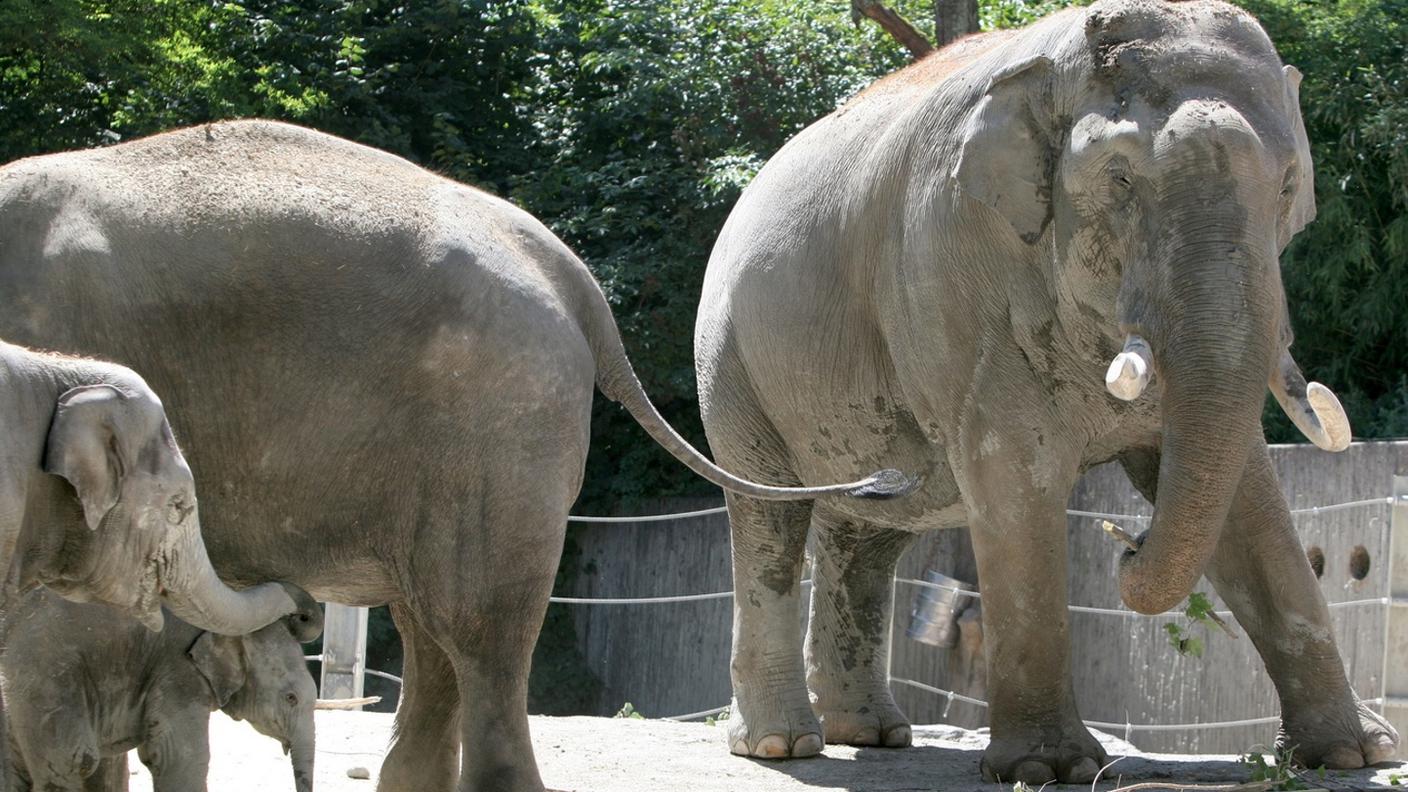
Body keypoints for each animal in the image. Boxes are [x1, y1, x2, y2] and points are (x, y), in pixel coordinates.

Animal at [0, 586, 322, 789]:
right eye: (291, 698)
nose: (301, 615)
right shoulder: (178, 673)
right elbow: (179, 758)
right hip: (43, 680)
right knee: (74, 760)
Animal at [698, 0, 1402, 777]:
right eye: (1120, 180)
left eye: (1286, 188)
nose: (1125, 541)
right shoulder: (955, 278)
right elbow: (1015, 475)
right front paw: (1047, 770)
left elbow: (1247, 496)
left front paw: (1355, 753)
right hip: (730, 365)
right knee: (769, 520)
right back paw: (780, 745)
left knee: (869, 535)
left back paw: (874, 735)